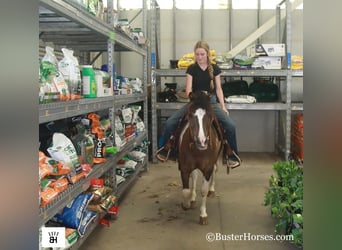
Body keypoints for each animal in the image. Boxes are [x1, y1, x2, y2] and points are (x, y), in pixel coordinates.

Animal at [178, 91, 223, 225]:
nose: (201, 141)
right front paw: (187, 203)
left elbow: (203, 190)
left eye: (210, 115)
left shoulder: (207, 168)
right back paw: (192, 198)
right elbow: (186, 191)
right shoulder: (184, 168)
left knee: (214, 170)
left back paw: (212, 190)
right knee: (194, 176)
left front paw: (203, 215)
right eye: (190, 115)